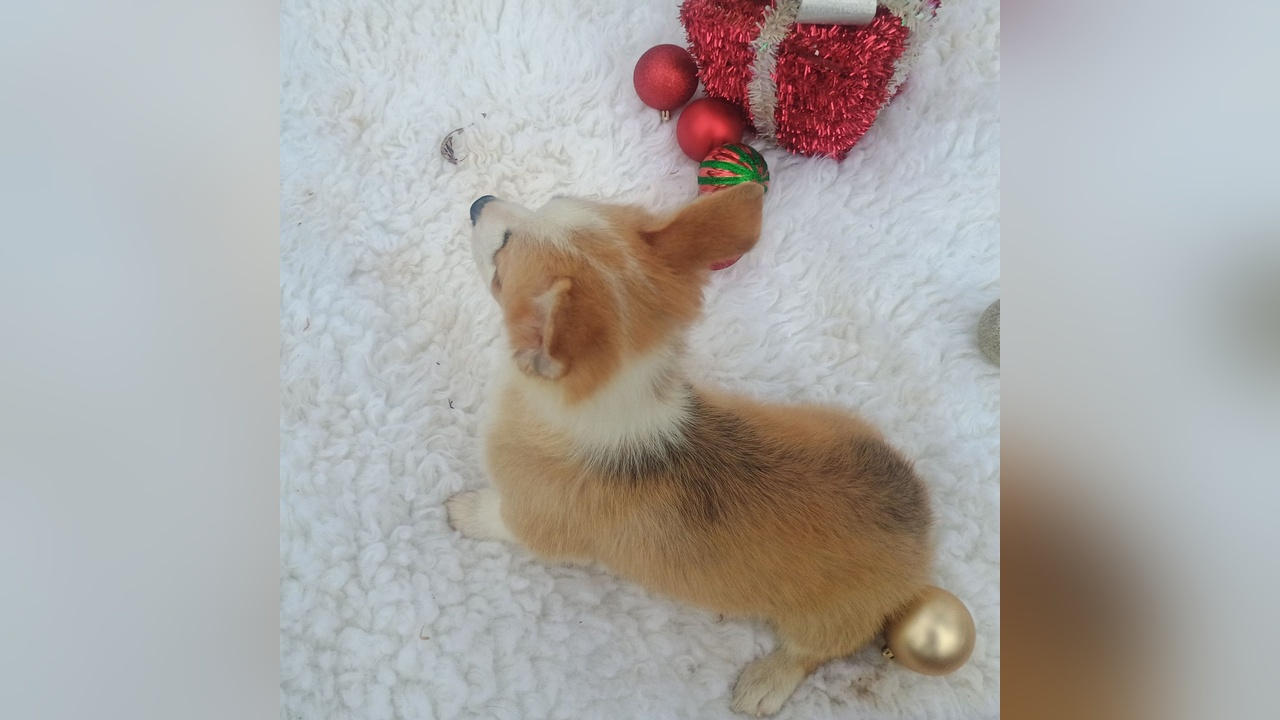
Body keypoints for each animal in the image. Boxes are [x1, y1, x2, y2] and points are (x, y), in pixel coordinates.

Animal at [446, 183, 933, 716]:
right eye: (550, 201)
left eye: (503, 252)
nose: (477, 201)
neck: (623, 399)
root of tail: (924, 542)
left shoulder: (531, 520)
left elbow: (496, 517)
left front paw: (464, 511)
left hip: (828, 620)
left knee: (813, 653)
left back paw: (765, 682)